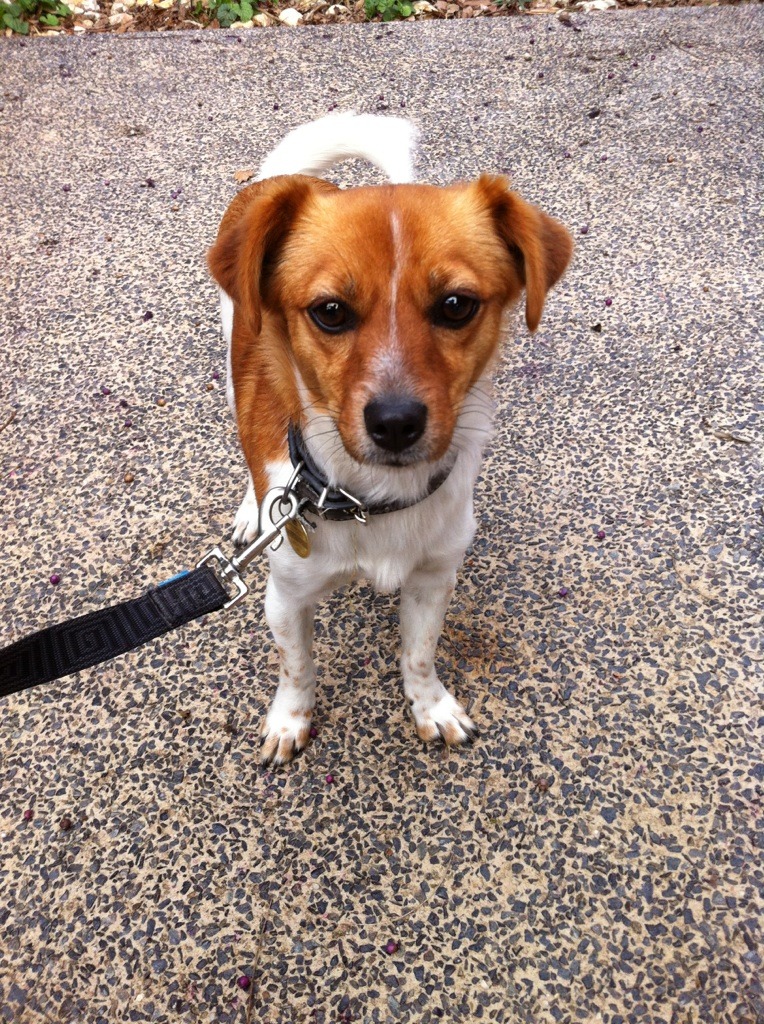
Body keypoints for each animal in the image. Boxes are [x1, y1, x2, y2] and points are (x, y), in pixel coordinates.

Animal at [208, 113, 572, 765]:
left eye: (456, 305)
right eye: (330, 311)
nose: (396, 422)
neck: (366, 500)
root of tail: (281, 178)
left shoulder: (433, 578)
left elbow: (420, 654)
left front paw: (430, 707)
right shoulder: (287, 597)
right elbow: (297, 667)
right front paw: (290, 721)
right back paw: (252, 509)